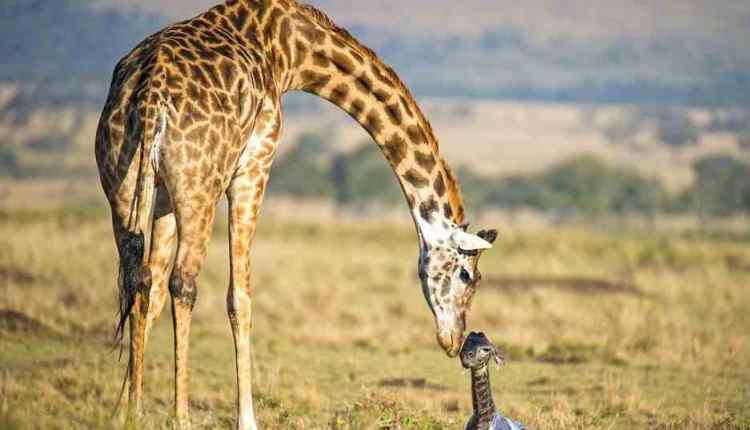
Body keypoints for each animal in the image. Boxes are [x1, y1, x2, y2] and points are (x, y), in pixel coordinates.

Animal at [95, 1, 500, 428]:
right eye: (468, 276)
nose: (454, 340)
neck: (289, 49)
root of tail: (151, 95)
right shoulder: (255, 161)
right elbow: (239, 296)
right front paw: (247, 419)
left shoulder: (162, 194)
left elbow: (151, 288)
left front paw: (130, 409)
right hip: (199, 186)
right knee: (184, 282)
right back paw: (183, 417)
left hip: (125, 184)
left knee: (139, 280)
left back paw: (135, 411)